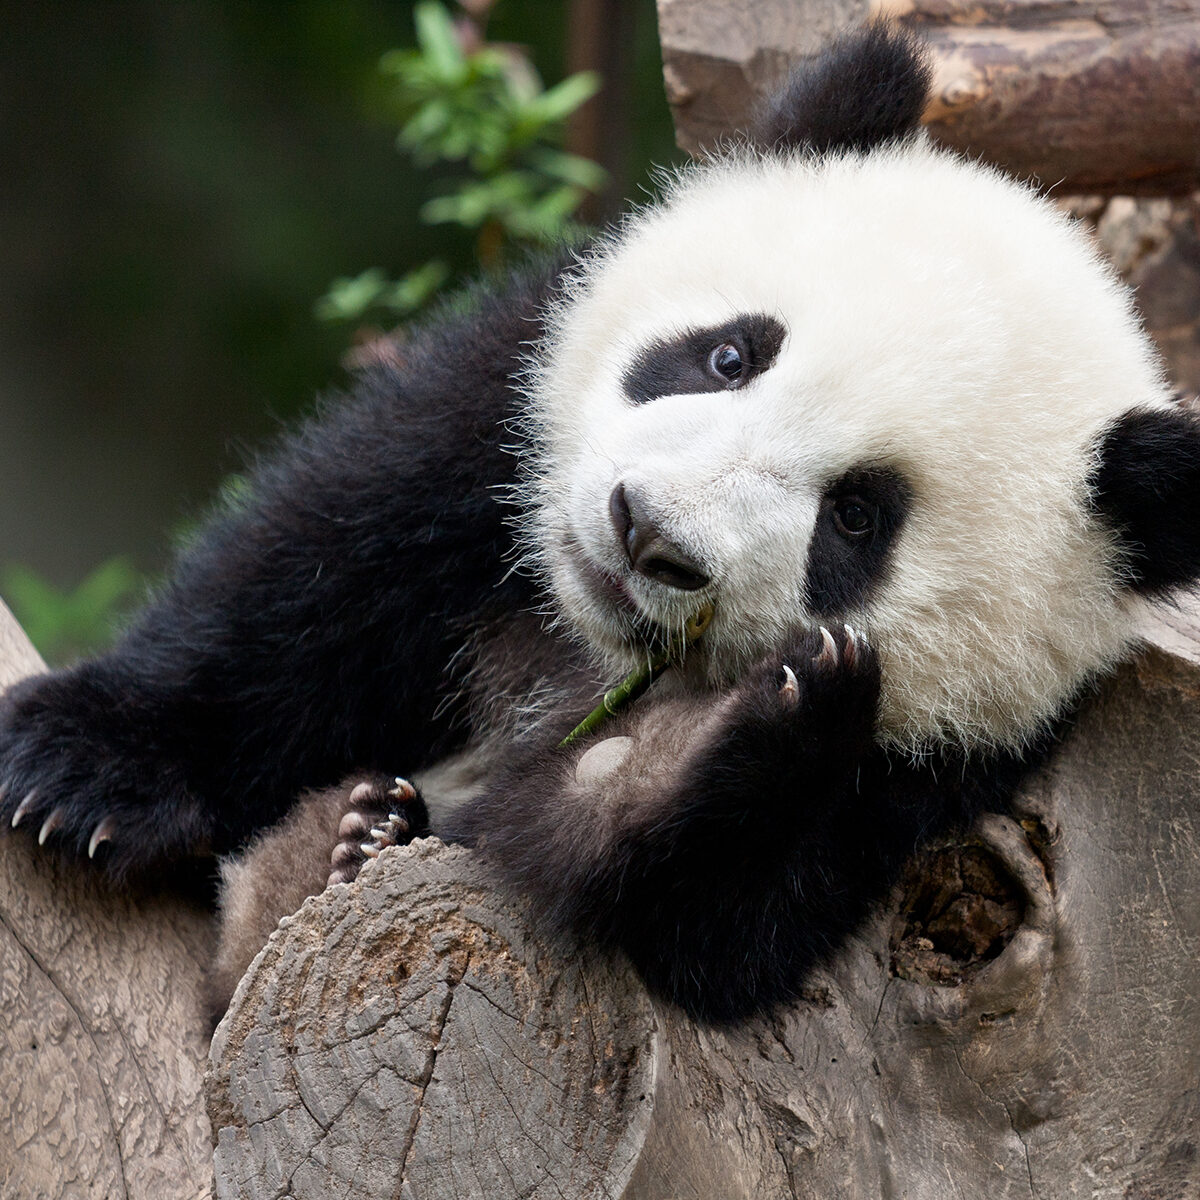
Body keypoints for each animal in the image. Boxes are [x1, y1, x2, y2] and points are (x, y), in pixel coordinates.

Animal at [2, 25, 1200, 1022]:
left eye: (857, 518)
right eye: (730, 354)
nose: (644, 535)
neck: (581, 645)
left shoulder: (941, 778)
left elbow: (705, 930)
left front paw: (760, 728)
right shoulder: (495, 415)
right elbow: (322, 569)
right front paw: (85, 776)